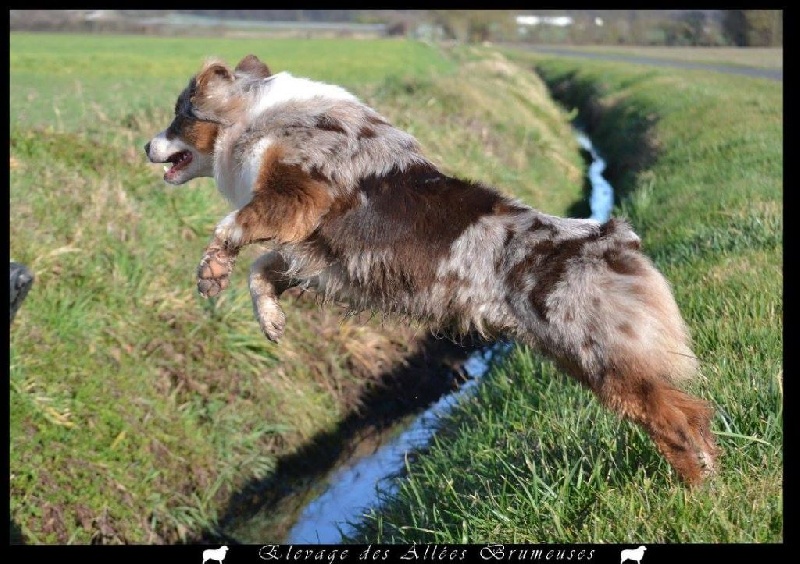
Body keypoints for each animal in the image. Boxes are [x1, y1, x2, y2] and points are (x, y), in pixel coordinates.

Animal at [144, 55, 720, 484]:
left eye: (178, 116)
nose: (145, 145)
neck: (258, 115)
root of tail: (613, 238)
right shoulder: (323, 257)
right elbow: (263, 268)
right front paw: (269, 318)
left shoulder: (299, 196)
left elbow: (233, 224)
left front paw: (211, 270)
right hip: (590, 360)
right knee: (689, 413)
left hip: (602, 358)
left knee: (678, 420)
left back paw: (694, 491)